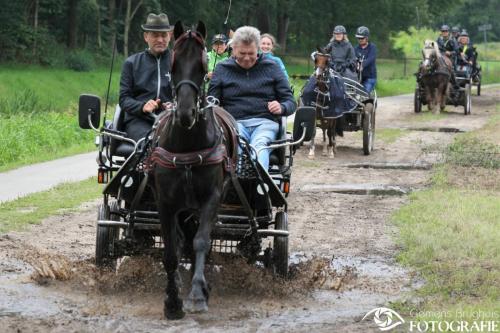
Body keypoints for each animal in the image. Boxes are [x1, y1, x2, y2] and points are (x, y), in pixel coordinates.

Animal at [148, 20, 236, 320]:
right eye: (173, 64)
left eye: (202, 64)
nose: (186, 113)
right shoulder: (165, 202)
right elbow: (171, 251)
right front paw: (173, 301)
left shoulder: (212, 197)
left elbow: (201, 242)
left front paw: (197, 294)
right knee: (179, 240)